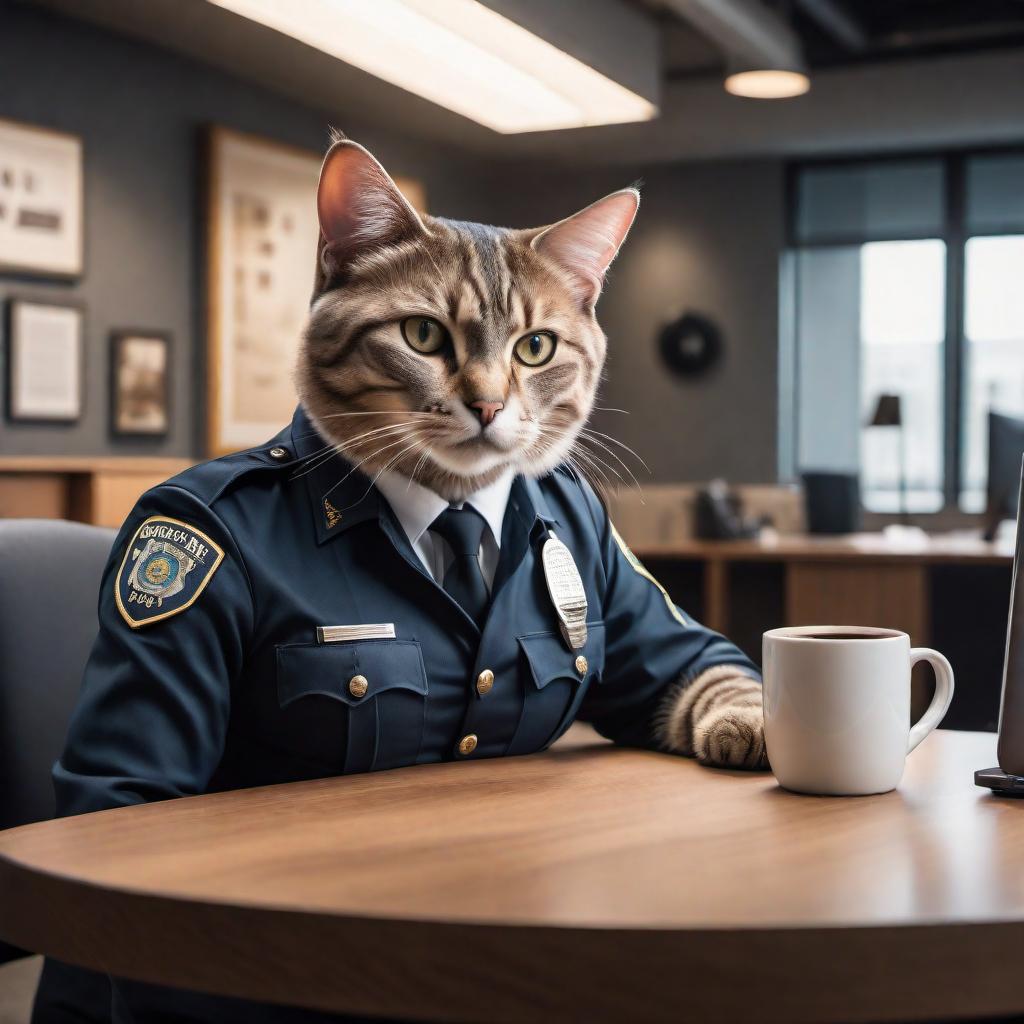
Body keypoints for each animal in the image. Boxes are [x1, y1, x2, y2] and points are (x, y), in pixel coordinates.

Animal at [292, 132, 765, 770]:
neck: (458, 504)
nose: (488, 405)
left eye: (536, 347)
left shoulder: (671, 638)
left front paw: (760, 723)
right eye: (422, 334)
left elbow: (713, 668)